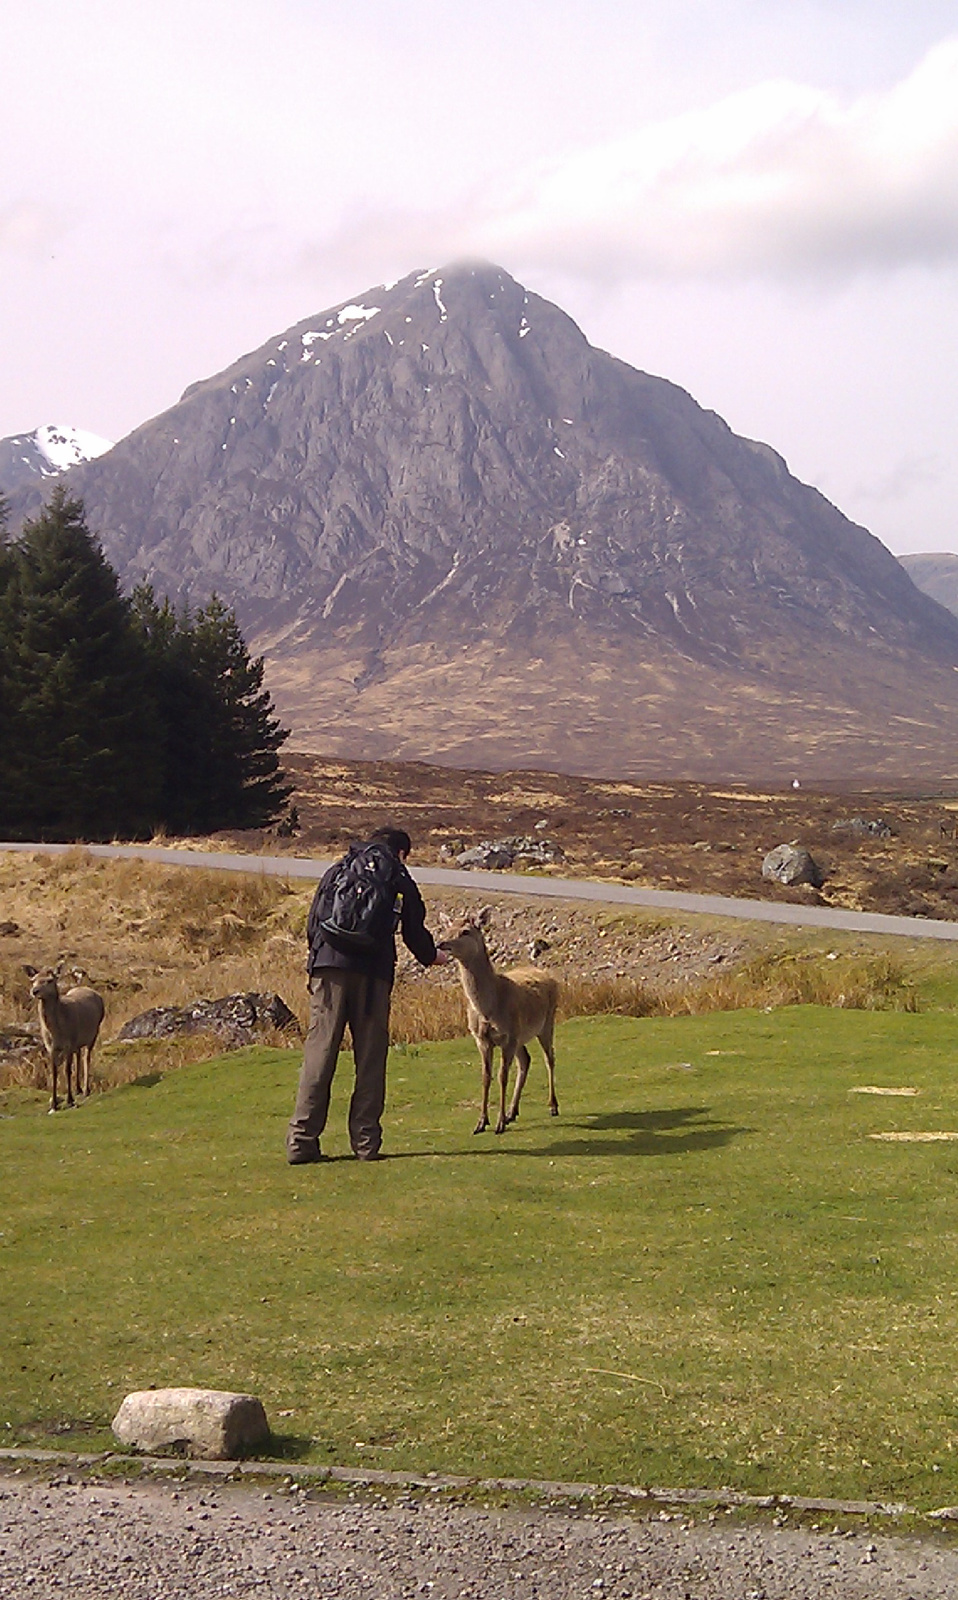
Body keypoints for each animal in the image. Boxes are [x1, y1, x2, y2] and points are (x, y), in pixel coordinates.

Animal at [24, 960, 104, 1113]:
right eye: (33, 980)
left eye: (49, 980)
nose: (34, 991)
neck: (56, 1032)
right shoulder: (51, 1047)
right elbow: (54, 1072)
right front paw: (53, 1104)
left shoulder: (69, 1044)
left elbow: (67, 1070)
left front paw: (69, 1100)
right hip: (77, 1040)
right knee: (79, 1055)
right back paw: (78, 1088)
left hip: (94, 1033)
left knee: (86, 1057)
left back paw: (86, 1089)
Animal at [438, 921, 559, 1132]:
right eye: (447, 928)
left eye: (465, 931)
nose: (441, 943)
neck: (488, 1009)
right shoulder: (482, 1039)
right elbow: (486, 1077)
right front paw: (481, 1123)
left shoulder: (508, 1037)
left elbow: (502, 1076)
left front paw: (499, 1123)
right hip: (520, 1037)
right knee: (525, 1060)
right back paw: (513, 1112)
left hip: (547, 1022)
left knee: (549, 1057)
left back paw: (552, 1106)